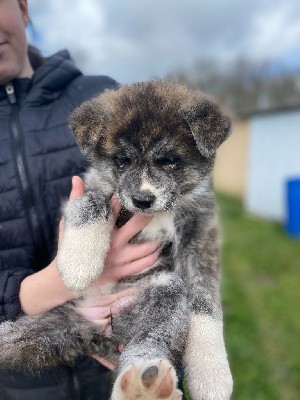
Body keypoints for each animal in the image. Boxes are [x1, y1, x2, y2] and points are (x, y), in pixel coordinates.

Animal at [0, 79, 233, 398]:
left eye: (170, 160)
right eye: (122, 160)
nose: (143, 199)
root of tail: (95, 332)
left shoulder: (199, 235)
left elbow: (205, 302)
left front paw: (211, 373)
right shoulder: (92, 187)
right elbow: (92, 201)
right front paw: (78, 264)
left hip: (166, 296)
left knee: (148, 343)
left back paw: (144, 387)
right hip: (44, 328)